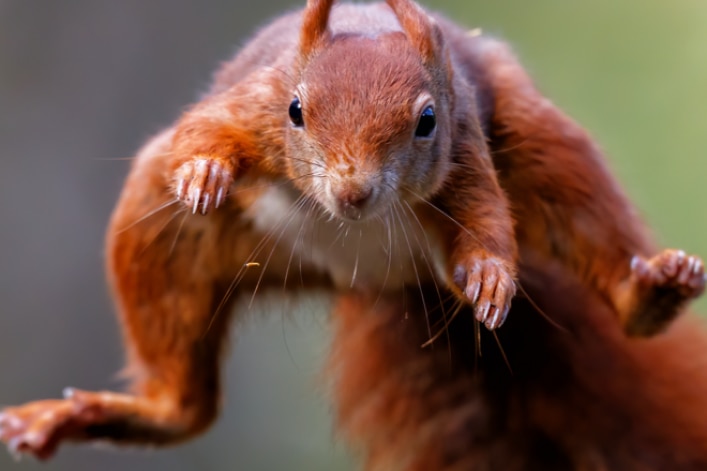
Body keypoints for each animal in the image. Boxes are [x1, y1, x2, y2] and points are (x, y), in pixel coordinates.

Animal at [1, 0, 706, 468]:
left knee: (584, 217)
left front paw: (490, 276)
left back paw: (651, 293)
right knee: (184, 403)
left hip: (543, 144)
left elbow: (487, 219)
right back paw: (122, 411)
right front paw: (204, 168)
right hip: (170, 233)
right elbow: (205, 129)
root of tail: (374, 274)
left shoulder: (466, 143)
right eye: (296, 110)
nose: (352, 194)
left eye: (426, 120)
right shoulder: (253, 99)